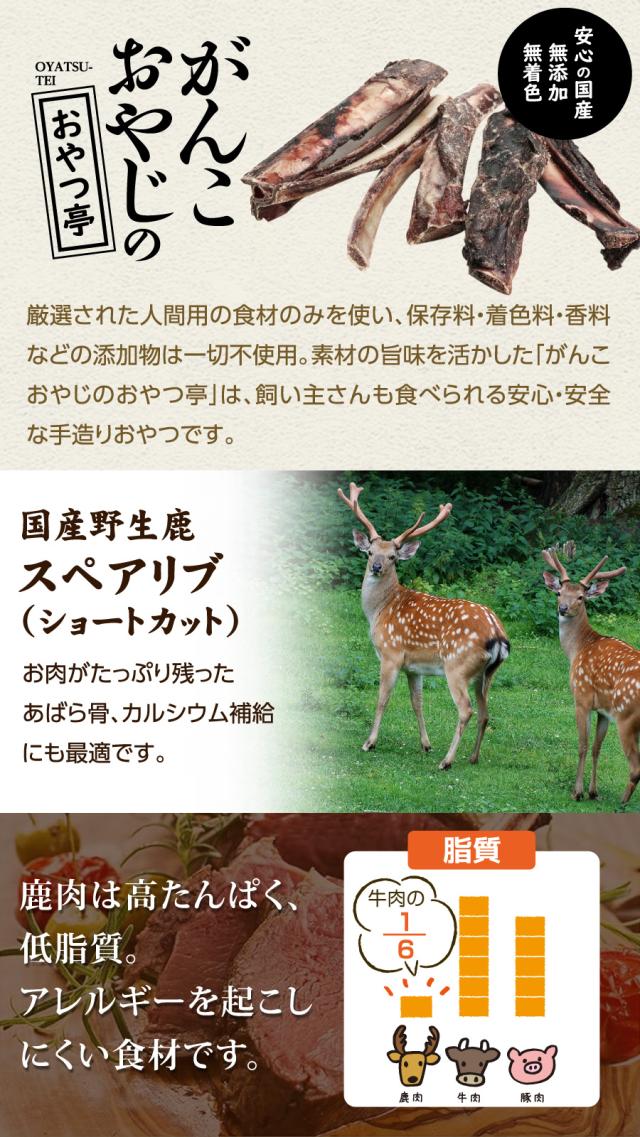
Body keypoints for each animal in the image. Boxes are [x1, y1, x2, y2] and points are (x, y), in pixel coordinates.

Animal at [338, 482, 510, 768]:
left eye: (393, 557)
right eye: (370, 552)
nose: (376, 567)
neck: (379, 610)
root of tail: (498, 635)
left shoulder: (391, 654)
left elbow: (382, 699)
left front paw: (369, 742)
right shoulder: (413, 666)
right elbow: (417, 702)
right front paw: (426, 744)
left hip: (457, 666)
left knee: (466, 710)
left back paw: (447, 761)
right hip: (486, 673)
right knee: (485, 712)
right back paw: (472, 757)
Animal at [542, 546, 640, 804]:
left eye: (581, 597)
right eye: (559, 593)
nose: (563, 608)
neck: (578, 648)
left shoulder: (582, 697)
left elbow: (583, 745)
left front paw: (577, 791)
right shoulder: (604, 710)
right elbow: (597, 747)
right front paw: (593, 791)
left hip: (626, 717)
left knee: (635, 767)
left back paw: (622, 802)